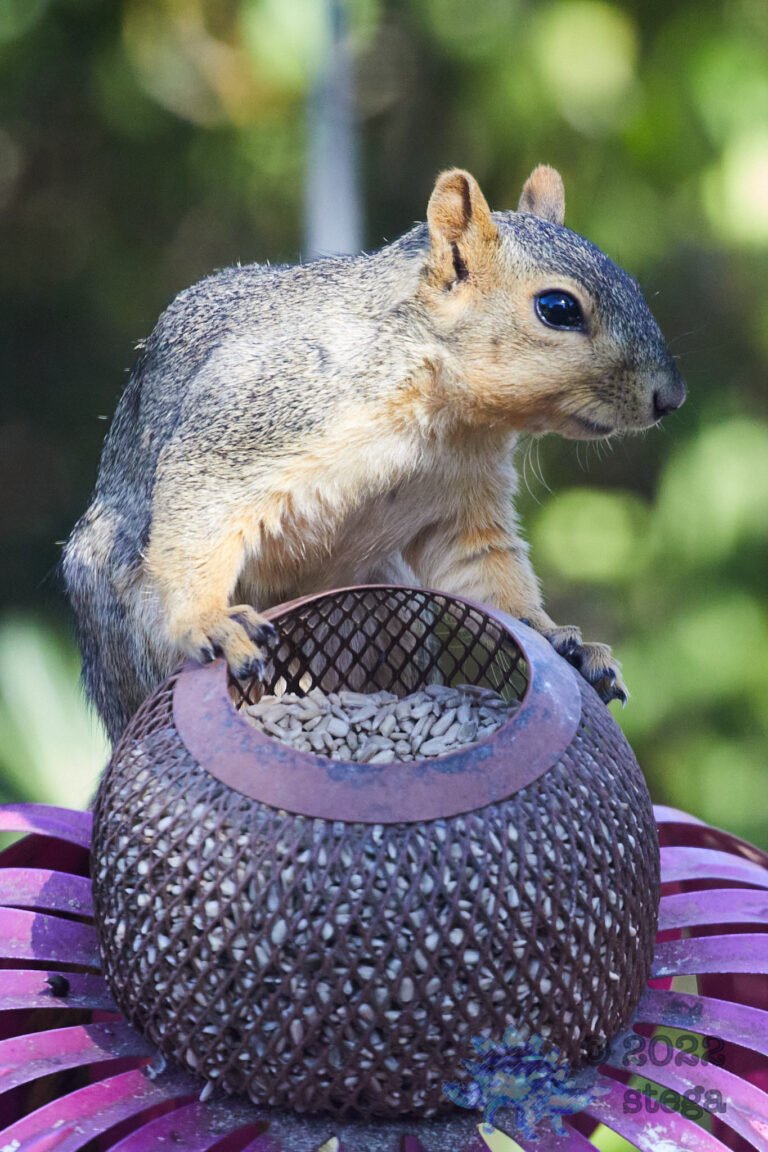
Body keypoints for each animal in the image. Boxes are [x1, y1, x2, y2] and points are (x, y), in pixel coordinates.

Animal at [63, 165, 685, 745]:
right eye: (557, 308)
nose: (670, 398)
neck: (441, 415)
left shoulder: (463, 503)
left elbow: (486, 573)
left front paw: (556, 636)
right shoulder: (260, 412)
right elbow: (201, 506)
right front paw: (210, 621)